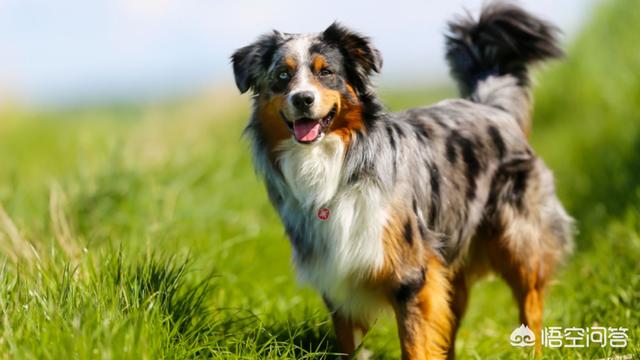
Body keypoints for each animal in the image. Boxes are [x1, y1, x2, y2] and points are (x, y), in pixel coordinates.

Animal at [232, 2, 572, 358]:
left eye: (326, 72)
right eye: (282, 76)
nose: (302, 99)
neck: (334, 166)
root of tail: (492, 108)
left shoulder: (411, 275)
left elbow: (415, 345)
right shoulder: (337, 279)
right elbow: (353, 345)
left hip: (519, 243)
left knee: (529, 306)